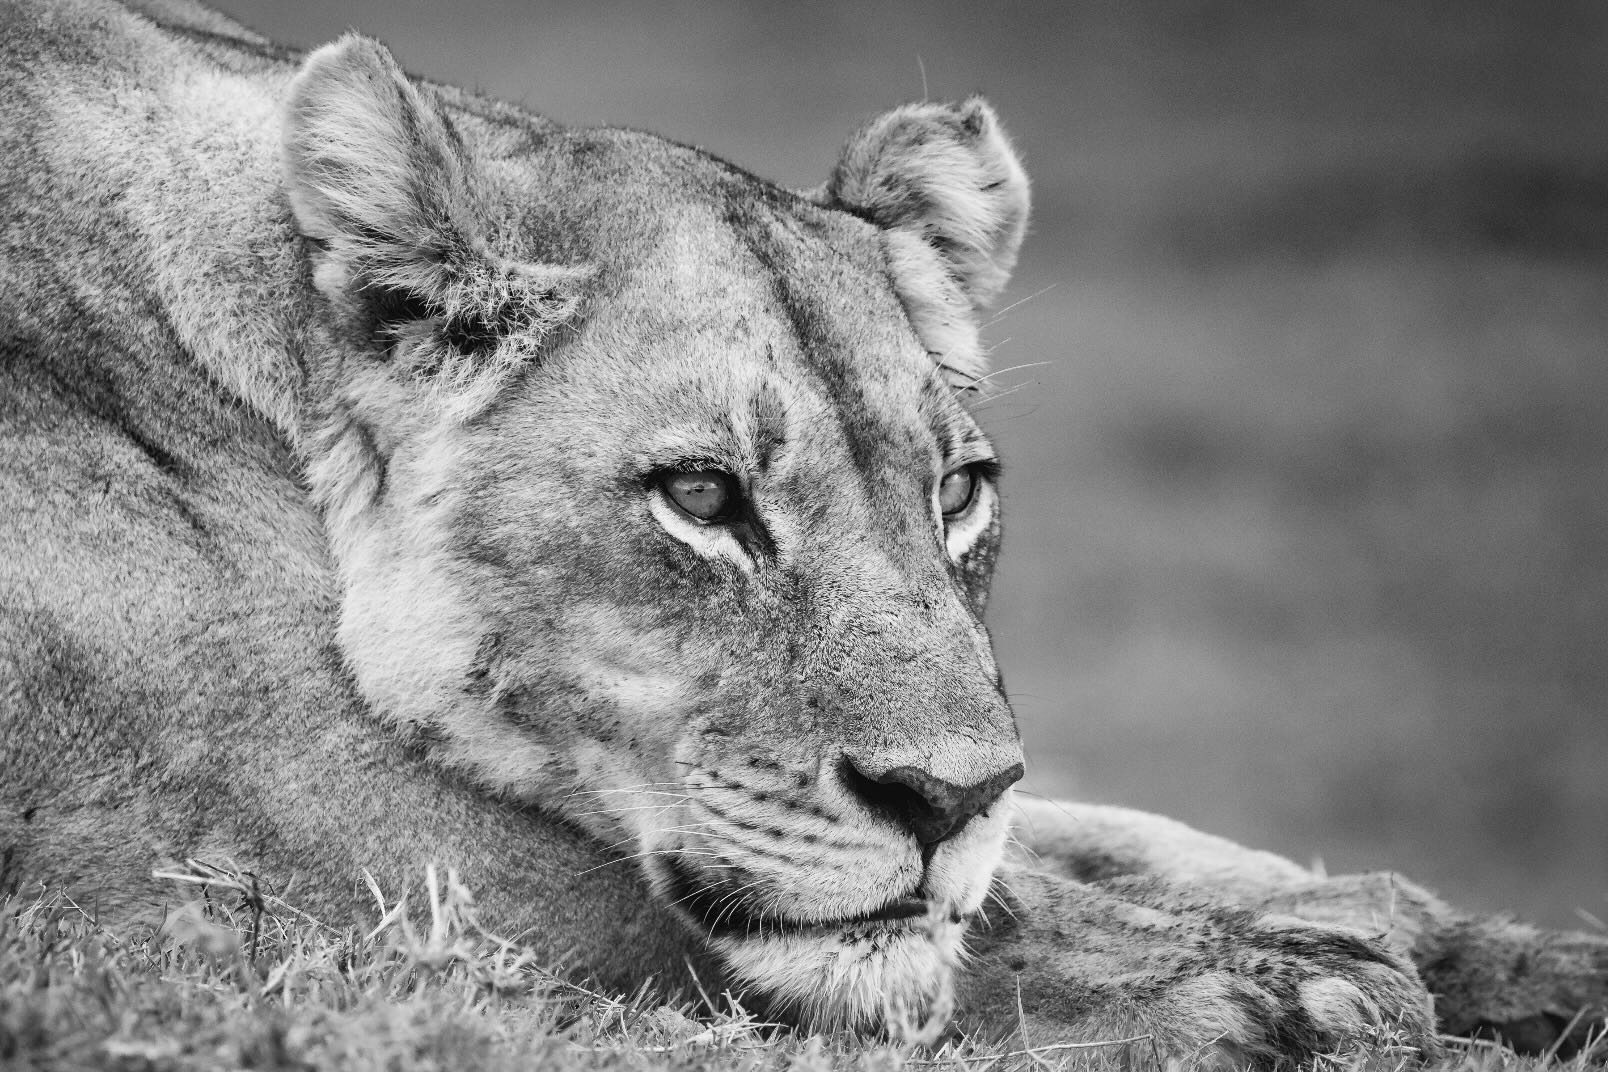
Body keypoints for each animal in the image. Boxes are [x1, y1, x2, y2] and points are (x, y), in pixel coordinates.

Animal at [0, 0, 1602, 1066]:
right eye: (704, 497)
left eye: (956, 493)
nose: (943, 801)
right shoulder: (284, 841)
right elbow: (950, 923)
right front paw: (1305, 992)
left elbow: (1107, 838)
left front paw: (1493, 950)